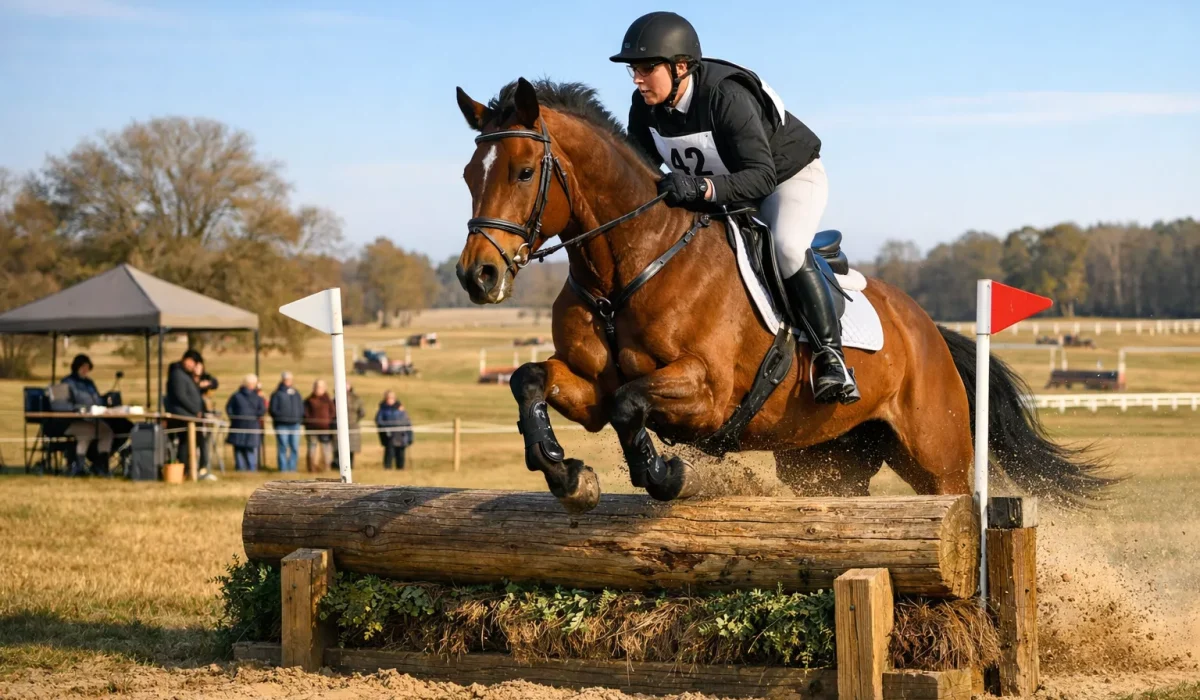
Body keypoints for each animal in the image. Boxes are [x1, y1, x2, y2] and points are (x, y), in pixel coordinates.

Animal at [454, 77, 1111, 513]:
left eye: (522, 171)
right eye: (467, 175)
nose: (476, 276)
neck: (631, 265)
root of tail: (929, 330)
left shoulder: (709, 392)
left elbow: (629, 405)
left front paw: (665, 474)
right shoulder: (591, 384)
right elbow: (534, 381)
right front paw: (564, 472)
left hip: (936, 455)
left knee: (953, 497)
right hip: (824, 460)